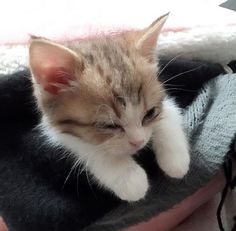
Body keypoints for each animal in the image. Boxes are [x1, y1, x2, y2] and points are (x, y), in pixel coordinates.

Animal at [29, 14, 190, 202]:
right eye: (108, 125)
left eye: (150, 113)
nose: (139, 142)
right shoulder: (54, 129)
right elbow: (92, 148)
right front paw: (128, 177)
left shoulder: (166, 105)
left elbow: (169, 116)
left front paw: (176, 160)